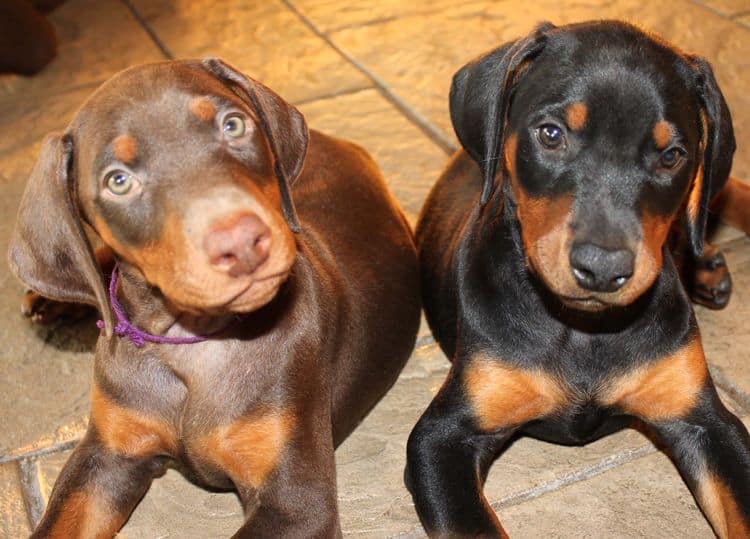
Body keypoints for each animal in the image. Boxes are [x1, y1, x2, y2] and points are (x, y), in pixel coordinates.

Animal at [8, 58, 424, 539]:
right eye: (118, 181)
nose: (242, 243)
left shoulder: (298, 502)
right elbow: (58, 522)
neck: (191, 346)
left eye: (233, 124)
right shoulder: (107, 454)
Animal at [406, 19, 750, 536]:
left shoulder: (707, 422)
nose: (603, 269)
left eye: (672, 155)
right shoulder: (442, 439)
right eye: (550, 134)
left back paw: (706, 266)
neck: (584, 329)